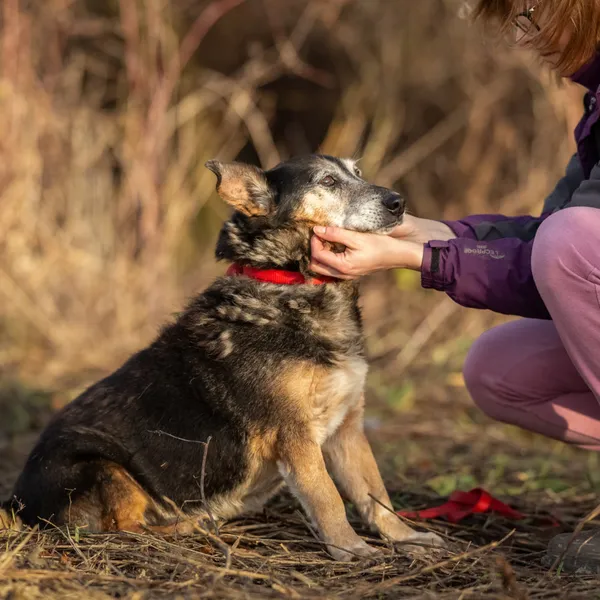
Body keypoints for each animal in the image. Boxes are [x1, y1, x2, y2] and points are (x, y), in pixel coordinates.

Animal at [1, 154, 446, 556]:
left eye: (358, 172)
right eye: (328, 182)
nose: (398, 202)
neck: (291, 283)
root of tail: (18, 504)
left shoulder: (348, 430)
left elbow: (375, 493)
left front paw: (405, 537)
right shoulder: (295, 435)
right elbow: (327, 496)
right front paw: (351, 549)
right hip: (101, 466)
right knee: (122, 528)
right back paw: (188, 526)